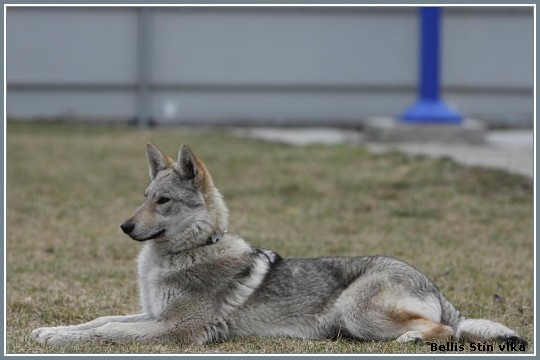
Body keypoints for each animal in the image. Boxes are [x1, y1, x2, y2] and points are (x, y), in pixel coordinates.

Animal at [30, 142, 528, 348]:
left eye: (163, 201)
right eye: (144, 196)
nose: (124, 226)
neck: (194, 249)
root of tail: (435, 288)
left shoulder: (175, 331)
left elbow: (106, 331)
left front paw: (59, 338)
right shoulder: (153, 315)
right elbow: (99, 320)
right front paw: (51, 330)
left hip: (357, 310)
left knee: (445, 332)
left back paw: (410, 339)